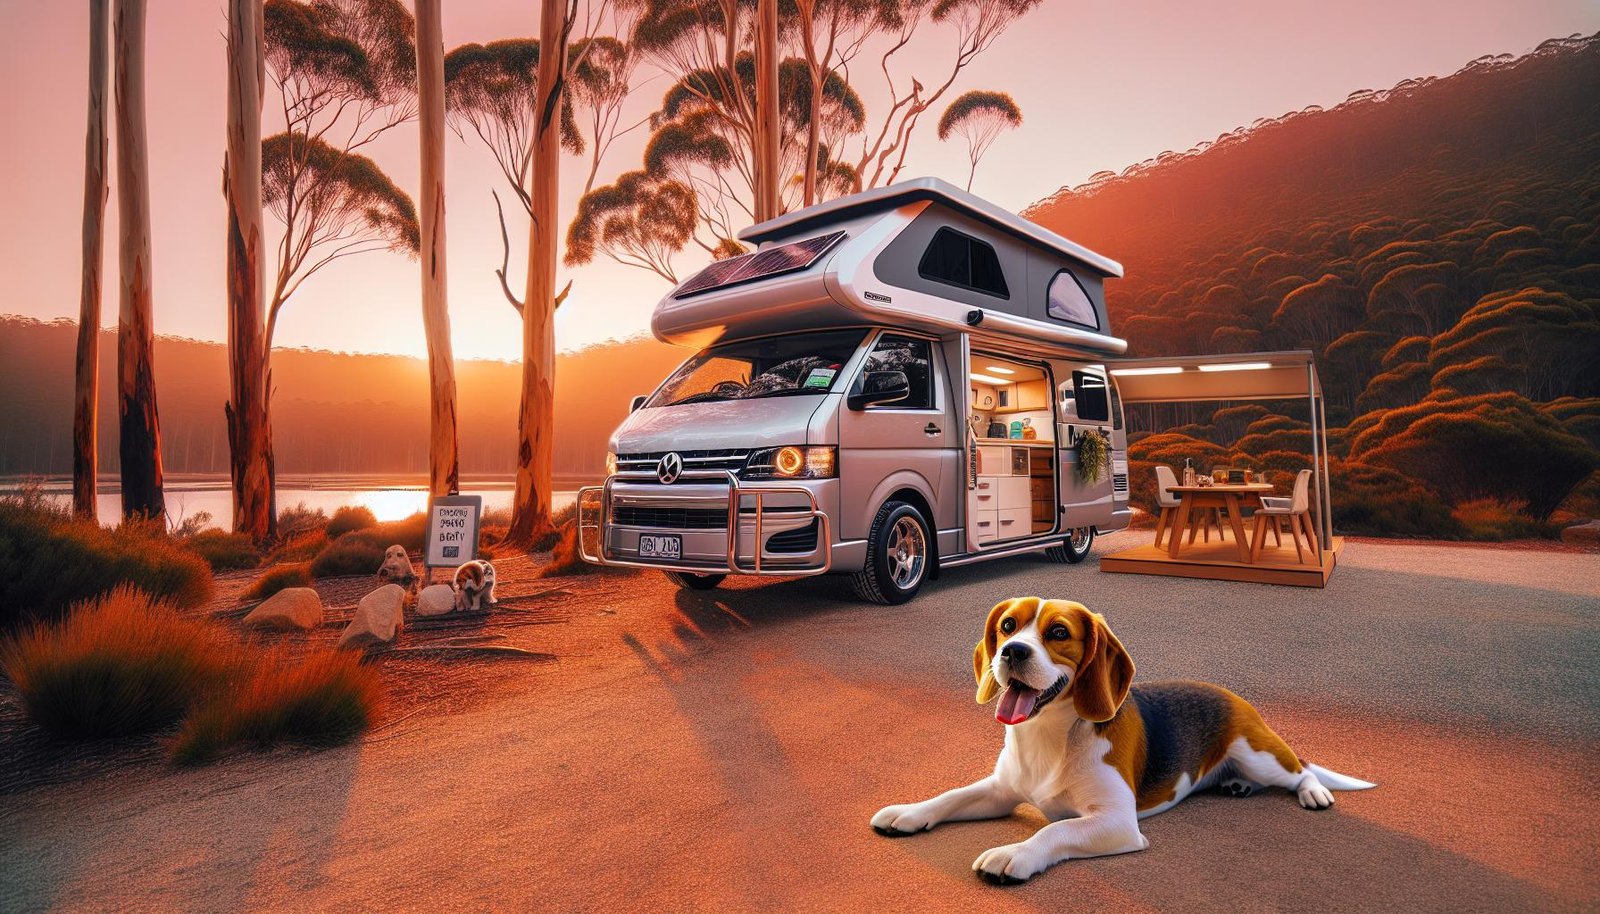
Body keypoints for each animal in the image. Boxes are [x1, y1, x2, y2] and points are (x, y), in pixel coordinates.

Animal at [876, 601, 1376, 889]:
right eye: (1007, 625)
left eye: (1059, 633)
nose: (1012, 651)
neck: (1050, 735)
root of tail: (1232, 694)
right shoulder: (1000, 790)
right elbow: (950, 795)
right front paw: (908, 813)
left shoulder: (1118, 822)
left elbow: (1052, 830)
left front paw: (1014, 853)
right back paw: (1236, 786)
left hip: (1260, 754)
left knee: (1300, 770)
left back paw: (1313, 792)